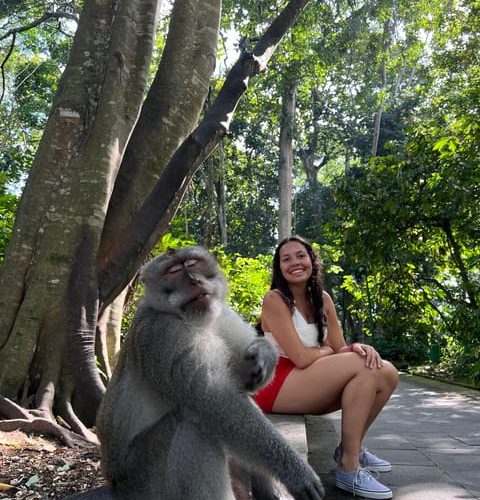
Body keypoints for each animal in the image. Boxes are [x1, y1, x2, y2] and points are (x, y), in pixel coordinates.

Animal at [95, 246, 324, 500]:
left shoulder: (222, 315)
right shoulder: (164, 335)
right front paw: (297, 473)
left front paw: (263, 354)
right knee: (191, 423)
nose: (194, 280)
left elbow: (239, 382)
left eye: (192, 263)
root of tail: (114, 483)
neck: (192, 320)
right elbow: (215, 401)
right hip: (143, 480)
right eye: (173, 271)